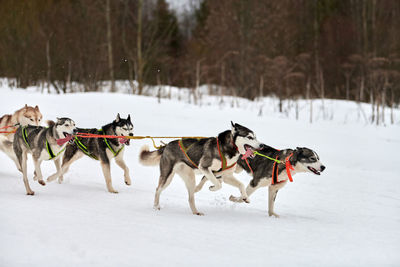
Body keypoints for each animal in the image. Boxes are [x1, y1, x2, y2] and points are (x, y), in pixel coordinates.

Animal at [196, 147, 324, 218]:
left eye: (318, 158)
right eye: (312, 158)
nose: (323, 167)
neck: (285, 163)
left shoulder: (273, 188)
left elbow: (271, 206)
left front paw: (272, 215)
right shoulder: (255, 182)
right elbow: (242, 197)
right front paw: (235, 198)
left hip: (234, 170)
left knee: (216, 177)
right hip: (223, 169)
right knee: (205, 176)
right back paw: (201, 188)